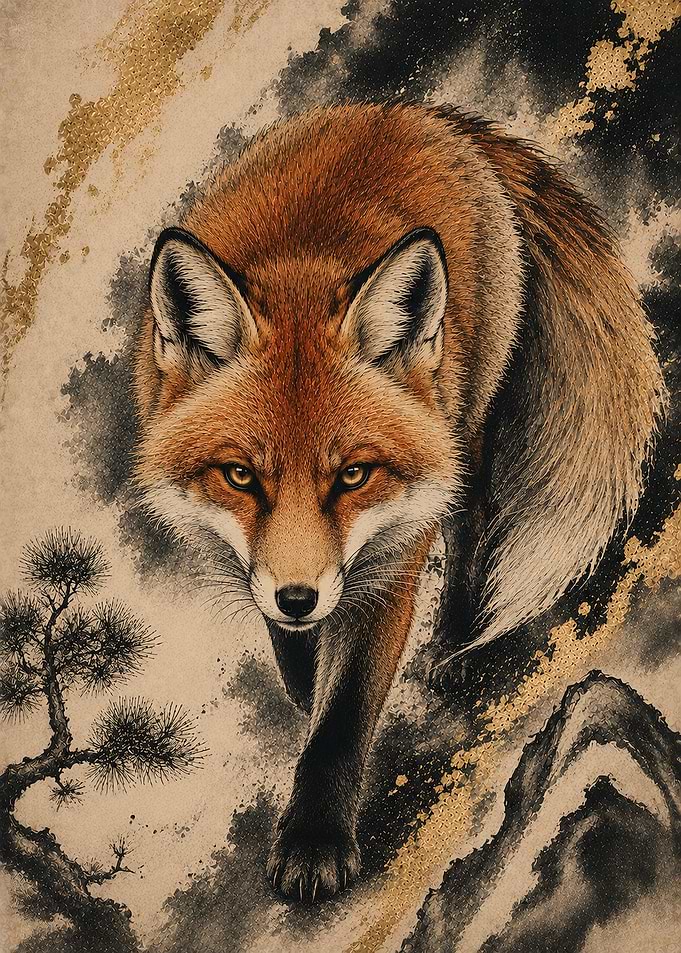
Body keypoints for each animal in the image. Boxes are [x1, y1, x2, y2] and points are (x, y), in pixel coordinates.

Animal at [132, 103, 665, 901]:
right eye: (240, 476)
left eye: (354, 475)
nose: (298, 596)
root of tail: (421, 114)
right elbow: (293, 654)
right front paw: (300, 675)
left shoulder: (386, 568)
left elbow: (341, 722)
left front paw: (315, 840)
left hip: (464, 431)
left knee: (473, 530)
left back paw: (458, 642)